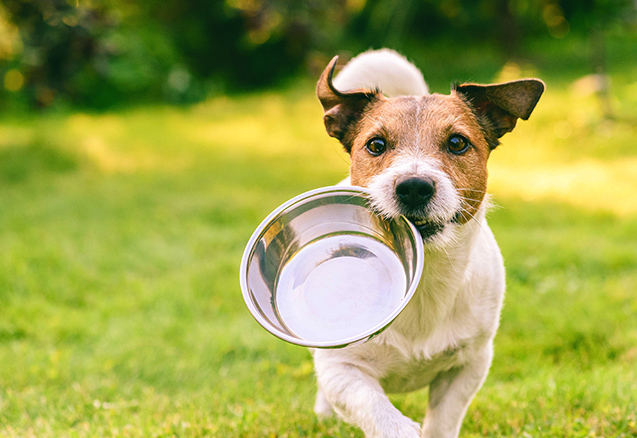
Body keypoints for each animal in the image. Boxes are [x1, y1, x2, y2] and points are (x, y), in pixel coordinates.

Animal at [310, 49, 544, 436]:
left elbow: (443, 420)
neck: (424, 279)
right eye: (375, 145)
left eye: (457, 143)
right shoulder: (342, 369)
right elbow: (378, 411)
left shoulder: (469, 365)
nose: (414, 187)